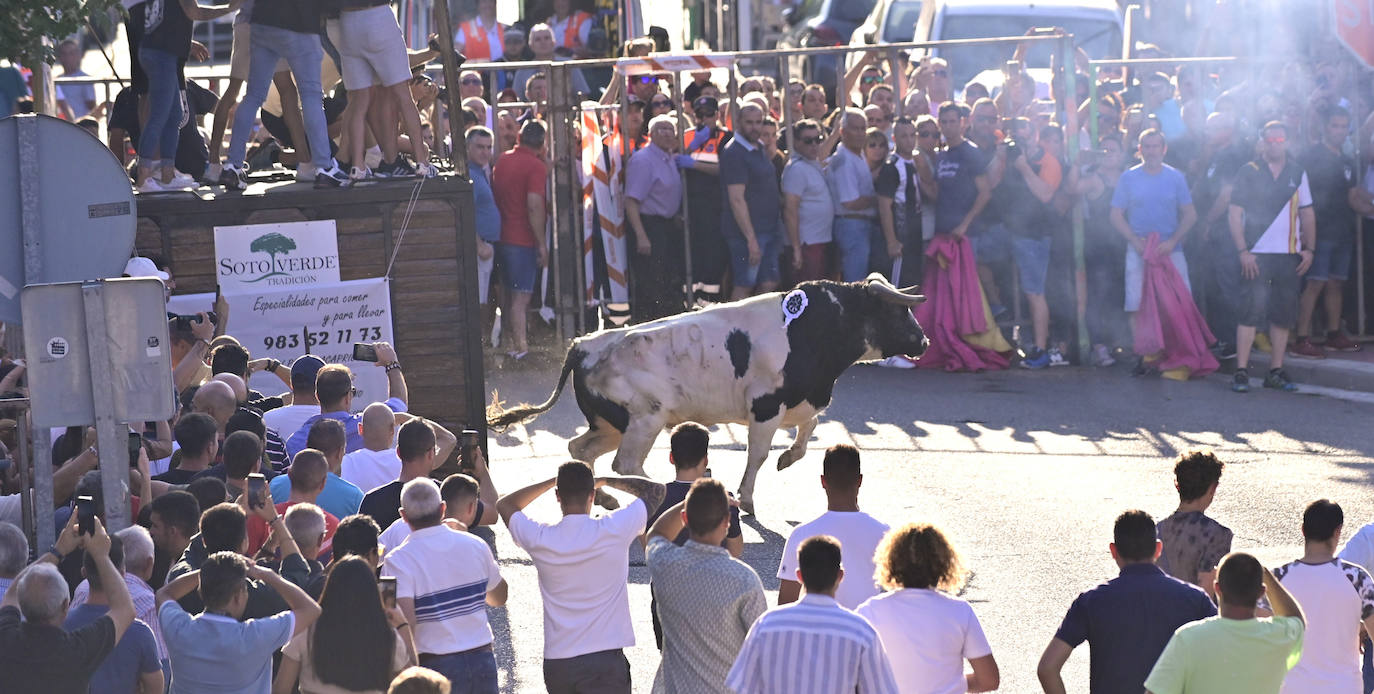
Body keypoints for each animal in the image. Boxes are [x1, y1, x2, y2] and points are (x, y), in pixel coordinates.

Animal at [489, 273, 928, 511]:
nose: (923, 343)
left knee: (580, 449)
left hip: (611, 424)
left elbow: (809, 431)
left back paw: (605, 499)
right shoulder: (765, 408)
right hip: (645, 419)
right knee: (625, 463)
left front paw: (788, 458)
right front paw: (746, 497)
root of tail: (583, 345)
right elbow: (757, 454)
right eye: (898, 311)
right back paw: (658, 491)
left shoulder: (803, 400)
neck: (809, 328)